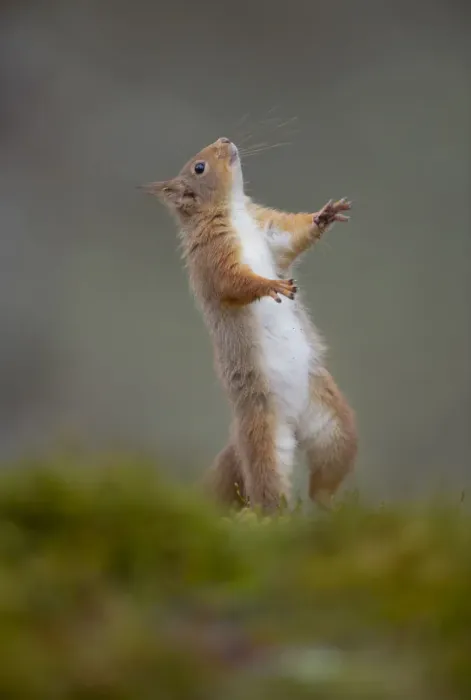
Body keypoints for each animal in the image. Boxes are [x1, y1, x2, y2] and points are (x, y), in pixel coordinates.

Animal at [141, 137, 357, 512]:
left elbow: (293, 237)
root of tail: (294, 421)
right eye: (199, 167)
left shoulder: (271, 232)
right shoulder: (213, 258)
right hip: (265, 442)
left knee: (323, 480)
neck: (235, 214)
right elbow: (234, 281)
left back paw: (331, 505)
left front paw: (324, 215)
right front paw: (269, 285)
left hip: (335, 427)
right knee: (267, 493)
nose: (224, 140)